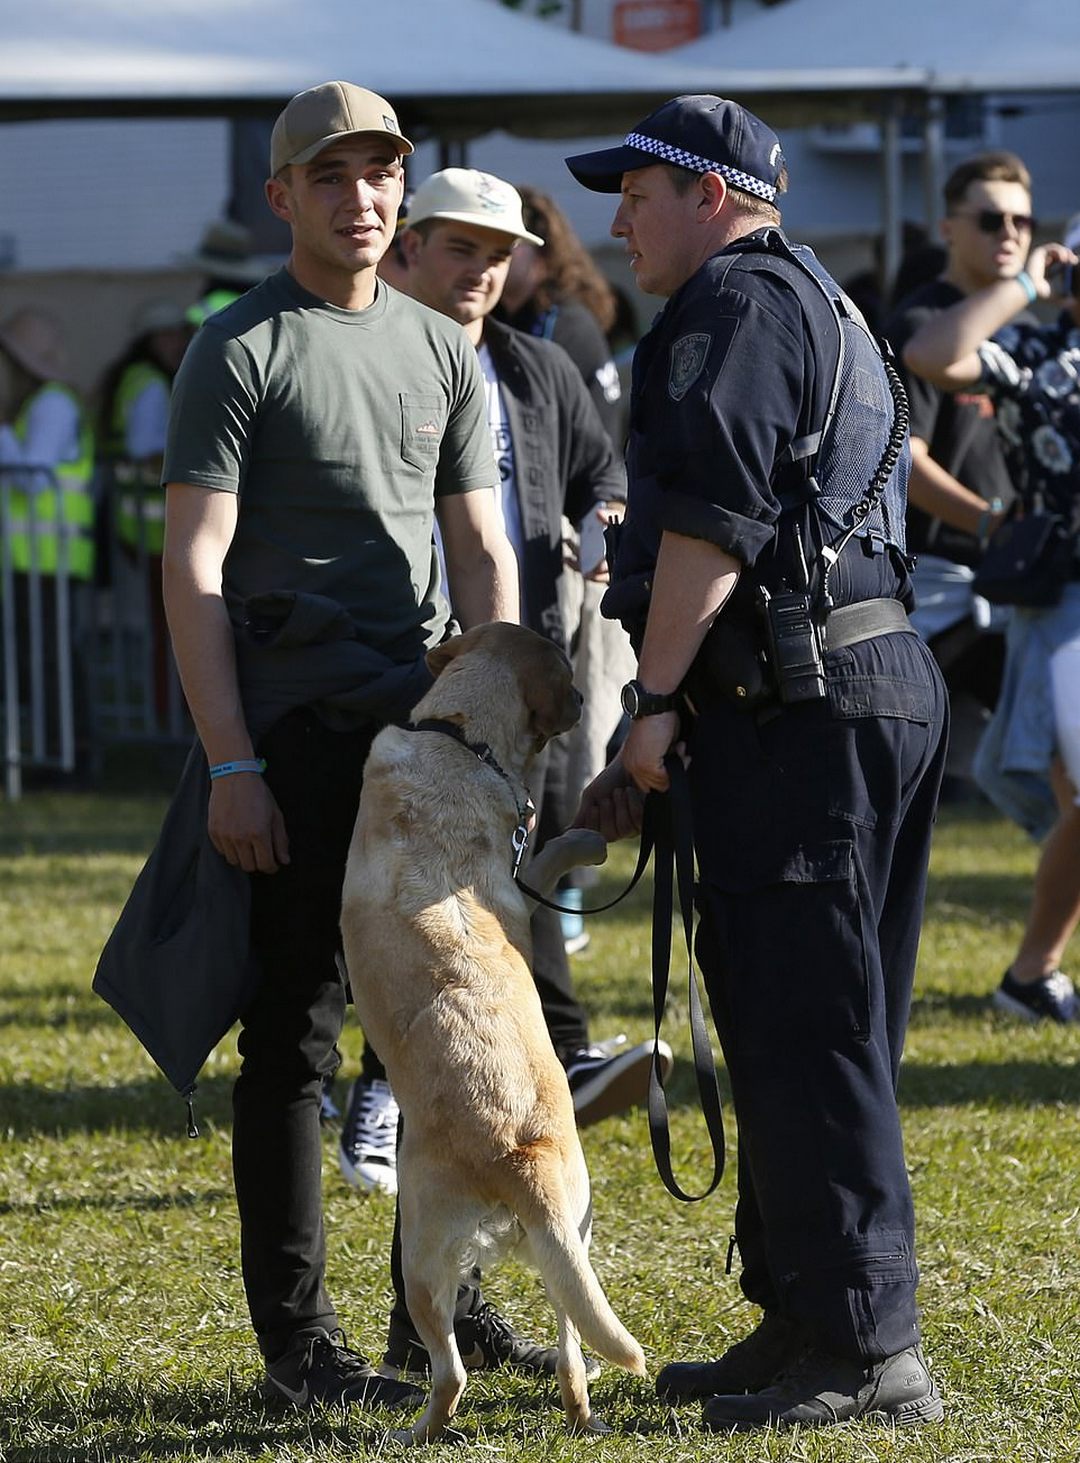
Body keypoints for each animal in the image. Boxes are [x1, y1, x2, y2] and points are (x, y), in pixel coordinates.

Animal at [338, 617, 638, 1439]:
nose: (589, 700)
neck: (460, 739)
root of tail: (514, 1152)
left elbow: (547, 854)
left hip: (421, 1256)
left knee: (450, 1373)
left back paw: (413, 1433)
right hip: (571, 1235)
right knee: (573, 1349)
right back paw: (580, 1412)